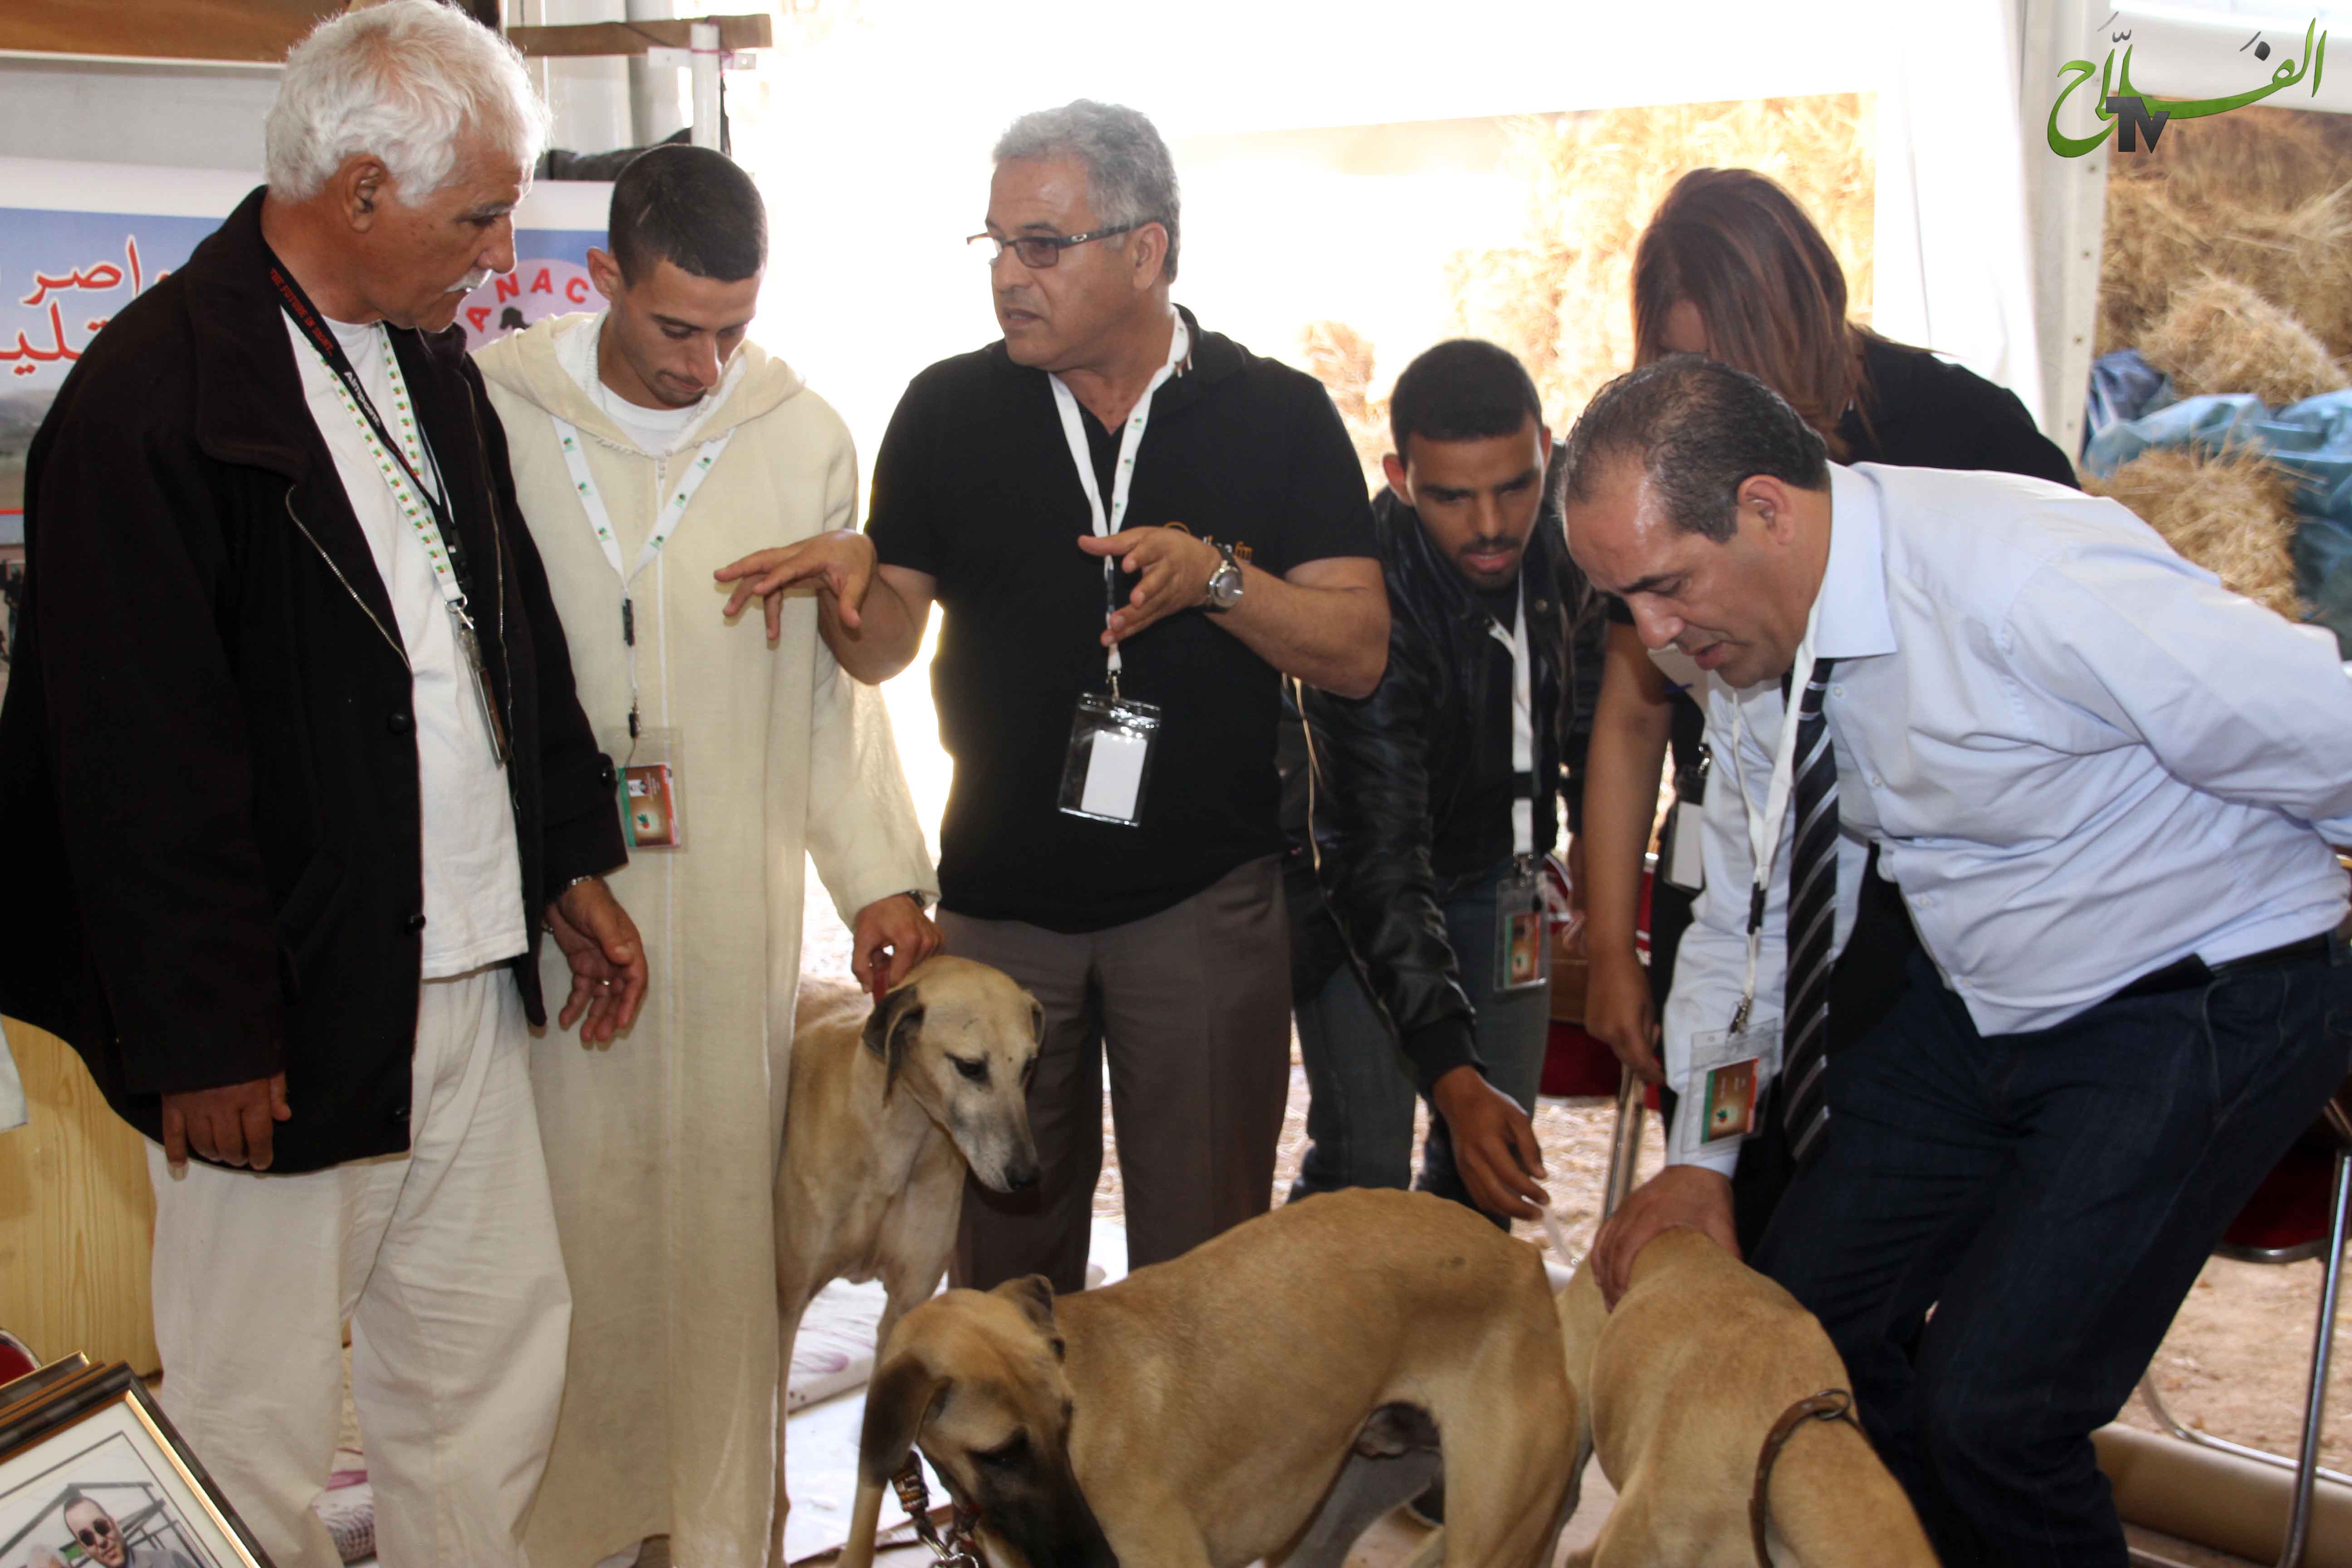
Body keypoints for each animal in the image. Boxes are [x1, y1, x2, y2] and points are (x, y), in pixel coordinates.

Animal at [776, 950, 1044, 1561]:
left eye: (1027, 1067)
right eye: (970, 1067)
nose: (1026, 1177)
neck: (899, 1138)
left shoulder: (903, 1310)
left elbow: (879, 1469)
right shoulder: (785, 1306)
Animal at [837, 1189, 1571, 1568]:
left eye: (1066, 1420)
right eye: (1002, 1453)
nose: (1099, 1561)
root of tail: (1521, 1257)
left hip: (1488, 1538)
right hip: (1331, 1518)